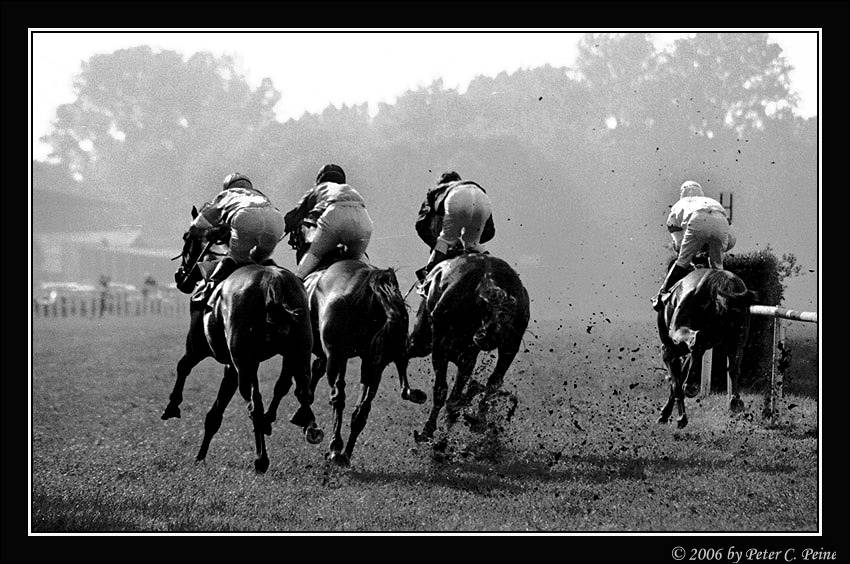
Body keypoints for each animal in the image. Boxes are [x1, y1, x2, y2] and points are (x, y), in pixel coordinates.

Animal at [161, 205, 322, 474]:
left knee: (254, 404)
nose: (180, 277)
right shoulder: (232, 365)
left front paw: (172, 407)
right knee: (302, 390)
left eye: (187, 238)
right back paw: (310, 426)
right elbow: (215, 413)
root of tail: (273, 285)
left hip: (245, 361)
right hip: (297, 351)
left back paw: (261, 459)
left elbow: (183, 366)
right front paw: (201, 455)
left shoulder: (199, 346)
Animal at [284, 225, 428, 468]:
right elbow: (315, 372)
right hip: (374, 362)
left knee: (338, 396)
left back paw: (335, 448)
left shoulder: (328, 351)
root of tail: (371, 284)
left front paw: (306, 422)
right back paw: (346, 453)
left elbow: (309, 383)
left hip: (339, 355)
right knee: (362, 410)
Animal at [408, 253, 528, 442]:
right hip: (425, 342)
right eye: (485, 310)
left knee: (492, 382)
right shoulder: (445, 347)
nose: (487, 336)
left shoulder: (462, 353)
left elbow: (450, 393)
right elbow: (446, 391)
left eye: (507, 319)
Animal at [656, 268, 756, 428]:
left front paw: (676, 416)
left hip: (679, 331)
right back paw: (735, 401)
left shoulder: (668, 351)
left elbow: (676, 382)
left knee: (695, 341)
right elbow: (679, 377)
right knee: (734, 366)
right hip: (739, 337)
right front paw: (667, 413)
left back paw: (690, 387)